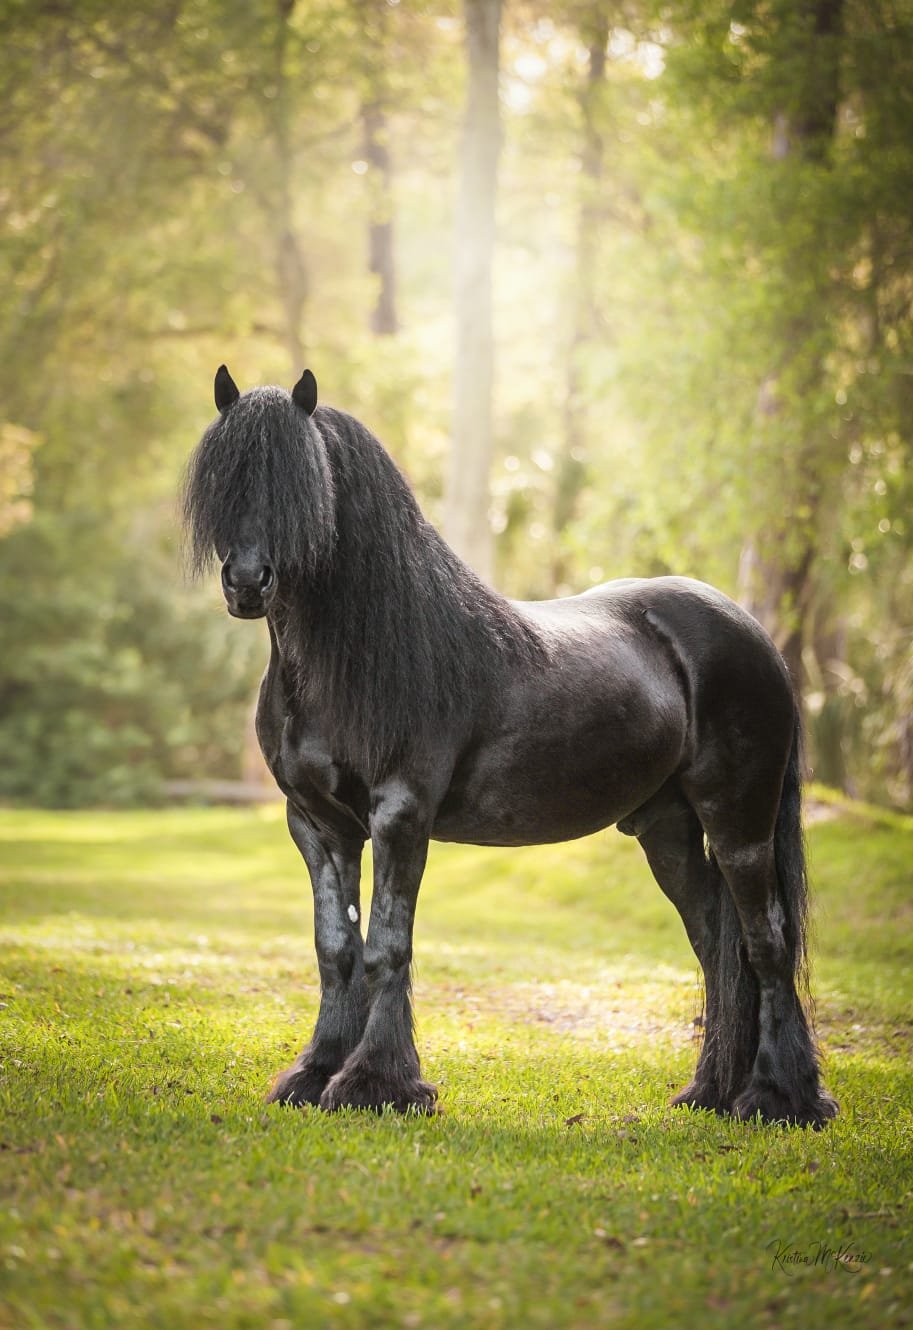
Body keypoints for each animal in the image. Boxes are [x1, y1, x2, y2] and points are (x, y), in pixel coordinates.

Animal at [182, 365, 838, 1128]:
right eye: (224, 479)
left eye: (303, 486)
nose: (248, 583)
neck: (355, 657)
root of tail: (753, 634)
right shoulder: (318, 826)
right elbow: (336, 948)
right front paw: (315, 1075)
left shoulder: (400, 816)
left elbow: (386, 947)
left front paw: (376, 1084)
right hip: (667, 828)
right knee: (714, 942)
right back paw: (710, 1092)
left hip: (739, 822)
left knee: (765, 942)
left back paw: (779, 1098)